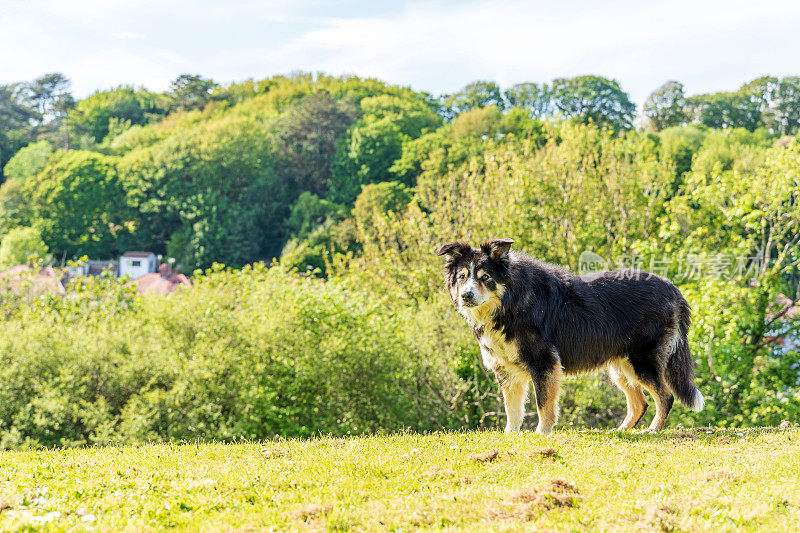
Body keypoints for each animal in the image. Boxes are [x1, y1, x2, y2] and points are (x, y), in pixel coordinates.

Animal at [438, 239, 708, 434]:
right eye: (462, 277)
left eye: (485, 277)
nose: (466, 296)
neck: (509, 303)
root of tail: (672, 289)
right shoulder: (505, 370)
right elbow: (512, 408)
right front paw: (510, 435)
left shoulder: (543, 362)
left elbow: (543, 404)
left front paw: (542, 433)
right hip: (620, 365)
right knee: (639, 402)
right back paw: (620, 431)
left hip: (641, 360)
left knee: (665, 396)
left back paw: (652, 430)